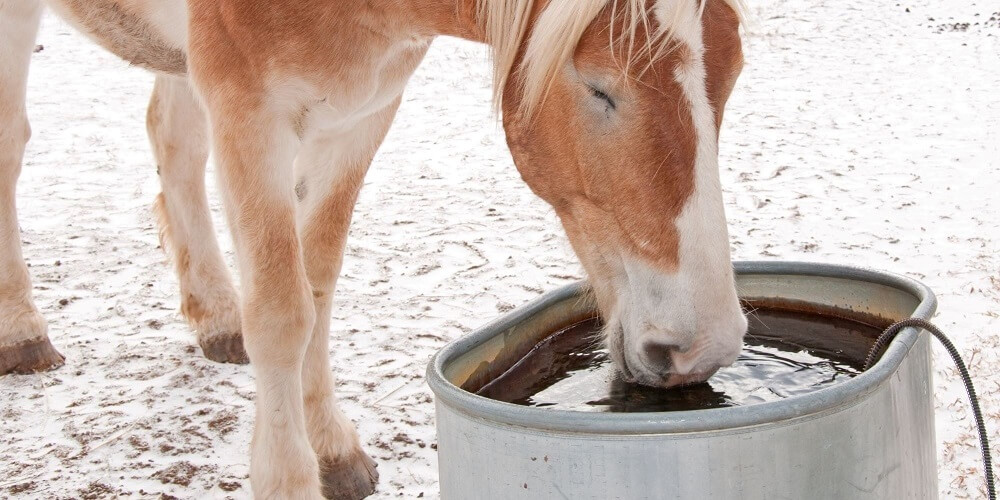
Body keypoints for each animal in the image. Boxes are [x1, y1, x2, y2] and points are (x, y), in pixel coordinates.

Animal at [0, 0, 748, 496]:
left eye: (734, 73)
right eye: (599, 87)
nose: (702, 348)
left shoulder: (361, 113)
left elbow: (318, 286)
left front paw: (332, 451)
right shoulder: (249, 113)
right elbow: (282, 311)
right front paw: (287, 477)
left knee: (172, 141)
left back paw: (215, 316)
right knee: (13, 143)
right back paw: (22, 333)